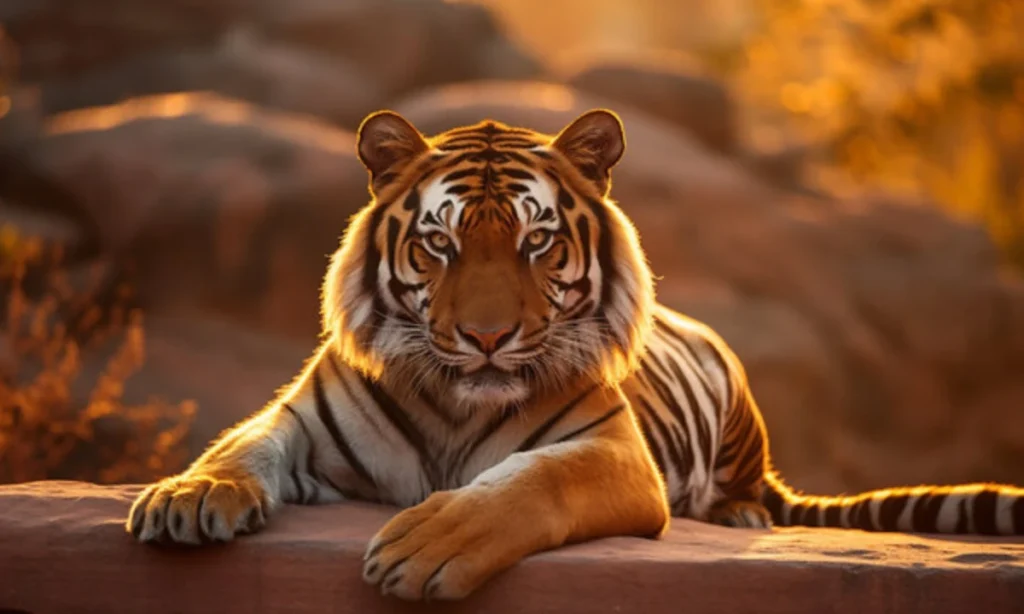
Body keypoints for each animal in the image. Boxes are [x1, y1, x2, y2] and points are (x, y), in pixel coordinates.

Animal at [126, 108, 1024, 601]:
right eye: (441, 244)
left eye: (536, 241)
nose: (487, 338)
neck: (455, 402)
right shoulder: (298, 423)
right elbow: (240, 447)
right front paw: (189, 497)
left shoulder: (612, 453)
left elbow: (528, 483)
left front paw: (431, 544)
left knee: (754, 493)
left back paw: (735, 511)